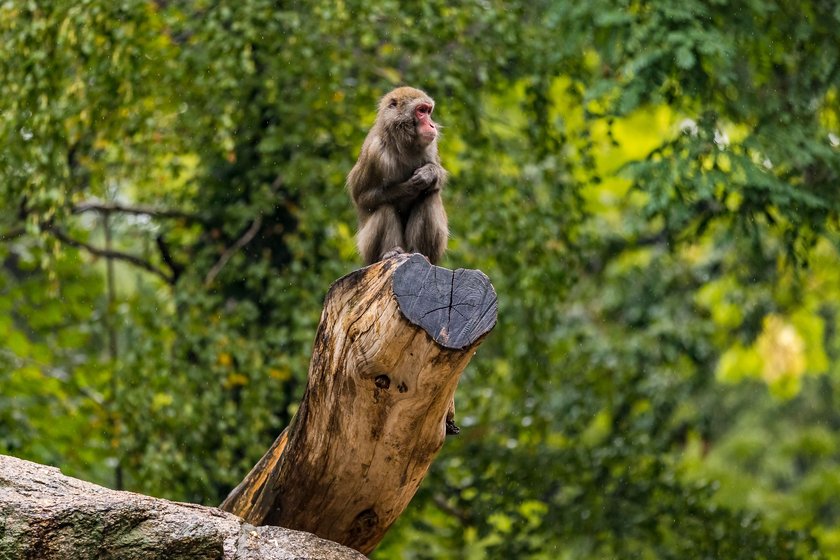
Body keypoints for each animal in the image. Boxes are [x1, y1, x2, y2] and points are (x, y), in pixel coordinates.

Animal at [346, 85, 450, 264]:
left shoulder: (431, 145)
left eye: (428, 111)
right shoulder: (374, 152)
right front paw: (408, 188)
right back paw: (391, 252)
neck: (402, 142)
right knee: (385, 206)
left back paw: (418, 251)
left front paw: (428, 174)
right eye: (421, 111)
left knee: (429, 196)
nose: (432, 125)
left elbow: (438, 176)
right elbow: (362, 198)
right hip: (367, 250)